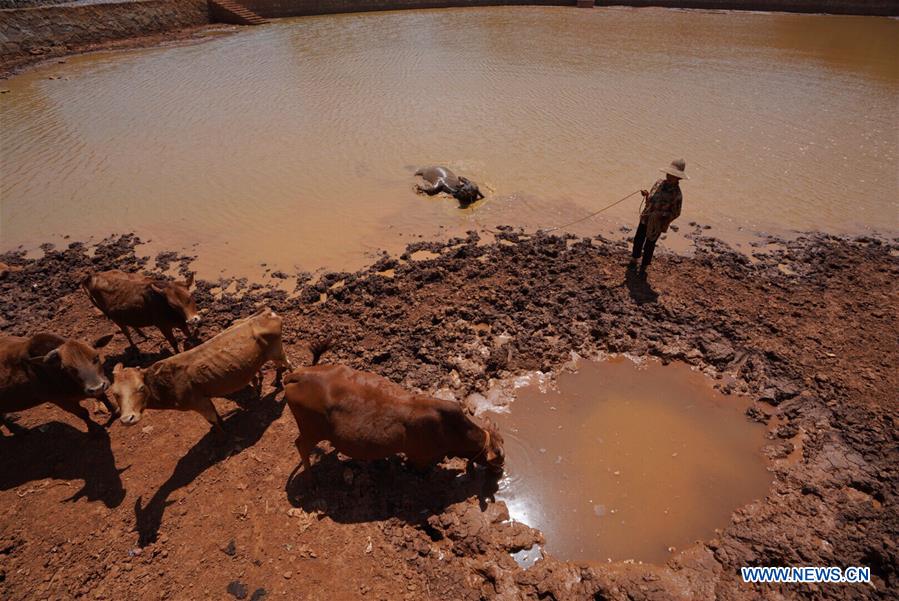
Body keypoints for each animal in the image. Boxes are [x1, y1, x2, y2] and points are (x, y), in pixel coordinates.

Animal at [108, 310, 292, 432]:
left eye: (140, 388)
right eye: (115, 393)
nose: (127, 419)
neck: (167, 382)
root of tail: (267, 314)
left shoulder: (198, 402)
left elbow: (213, 421)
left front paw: (222, 437)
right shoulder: (204, 399)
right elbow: (215, 417)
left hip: (277, 351)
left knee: (287, 364)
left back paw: (281, 383)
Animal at [284, 344, 502, 480]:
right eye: (498, 456)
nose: (501, 472)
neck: (451, 430)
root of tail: (298, 375)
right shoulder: (420, 457)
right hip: (311, 431)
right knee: (301, 446)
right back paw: (311, 478)